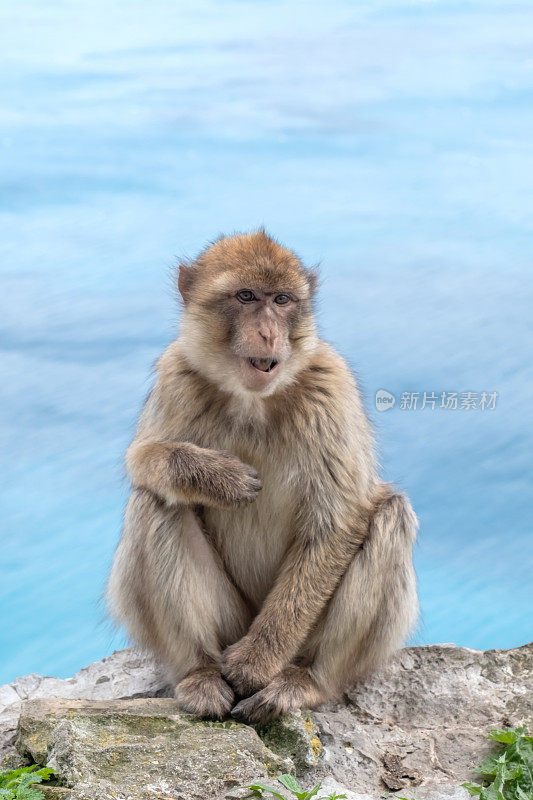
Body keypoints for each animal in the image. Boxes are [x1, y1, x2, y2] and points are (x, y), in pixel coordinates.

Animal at [107, 228, 416, 720]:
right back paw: (199, 674)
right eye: (247, 296)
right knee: (153, 501)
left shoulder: (331, 386)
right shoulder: (177, 374)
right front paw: (213, 476)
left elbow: (336, 523)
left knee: (391, 513)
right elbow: (141, 458)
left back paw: (305, 680)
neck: (252, 399)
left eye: (282, 299)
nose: (269, 333)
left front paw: (255, 664)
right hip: (230, 621)